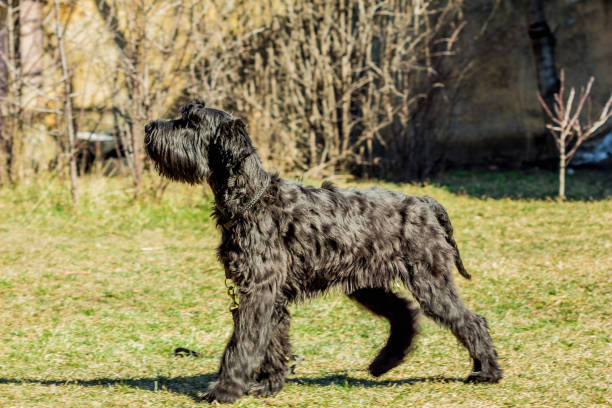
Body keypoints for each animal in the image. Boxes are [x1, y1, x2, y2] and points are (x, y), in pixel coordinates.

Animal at [145, 101, 502, 402]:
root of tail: (426, 204)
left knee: (470, 321)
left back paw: (486, 372)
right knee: (405, 314)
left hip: (429, 282)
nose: (149, 126)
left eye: (192, 122)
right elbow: (272, 342)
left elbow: (242, 343)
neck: (251, 199)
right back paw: (383, 364)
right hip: (368, 285)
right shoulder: (268, 297)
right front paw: (268, 385)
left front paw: (224, 390)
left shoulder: (258, 292)